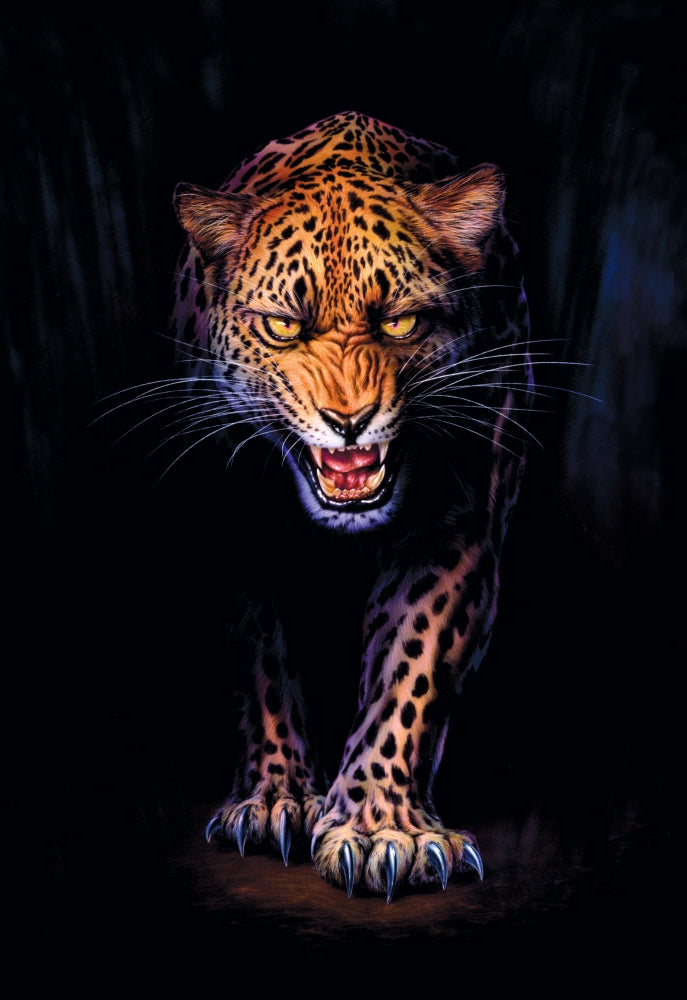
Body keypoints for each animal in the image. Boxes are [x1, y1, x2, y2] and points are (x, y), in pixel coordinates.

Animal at [168, 111, 533, 900]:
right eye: (283, 326)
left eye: (399, 324)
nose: (349, 420)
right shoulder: (233, 526)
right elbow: (260, 664)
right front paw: (274, 798)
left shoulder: (457, 529)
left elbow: (410, 666)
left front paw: (381, 827)